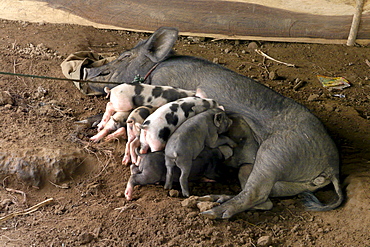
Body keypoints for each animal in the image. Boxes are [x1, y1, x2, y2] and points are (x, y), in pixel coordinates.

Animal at [85, 27, 342, 219]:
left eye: (124, 57)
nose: (87, 69)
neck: (154, 69)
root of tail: (332, 164)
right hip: (273, 176)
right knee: (263, 198)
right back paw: (213, 200)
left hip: (279, 152)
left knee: (255, 193)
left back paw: (211, 212)